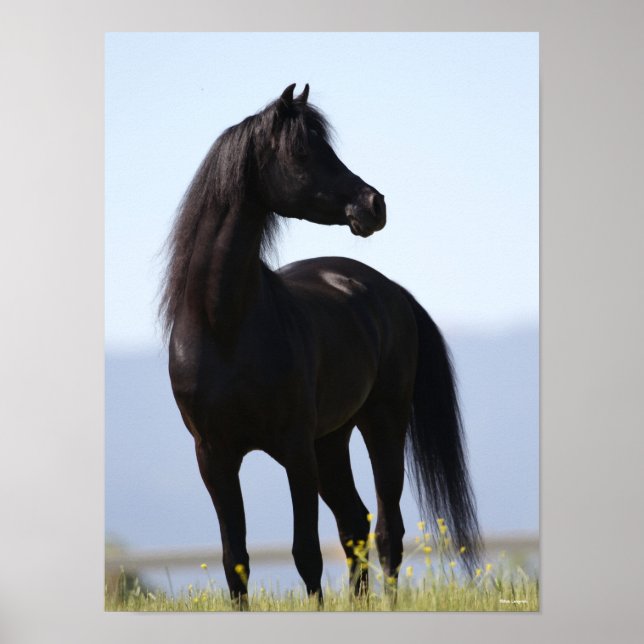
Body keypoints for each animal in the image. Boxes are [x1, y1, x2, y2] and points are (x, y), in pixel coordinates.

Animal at [159, 84, 480, 607]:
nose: (374, 204)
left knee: (387, 530)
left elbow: (306, 553)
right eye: (302, 152)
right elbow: (235, 561)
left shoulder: (294, 450)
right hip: (332, 440)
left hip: (382, 423)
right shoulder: (214, 457)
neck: (224, 328)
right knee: (355, 522)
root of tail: (388, 288)